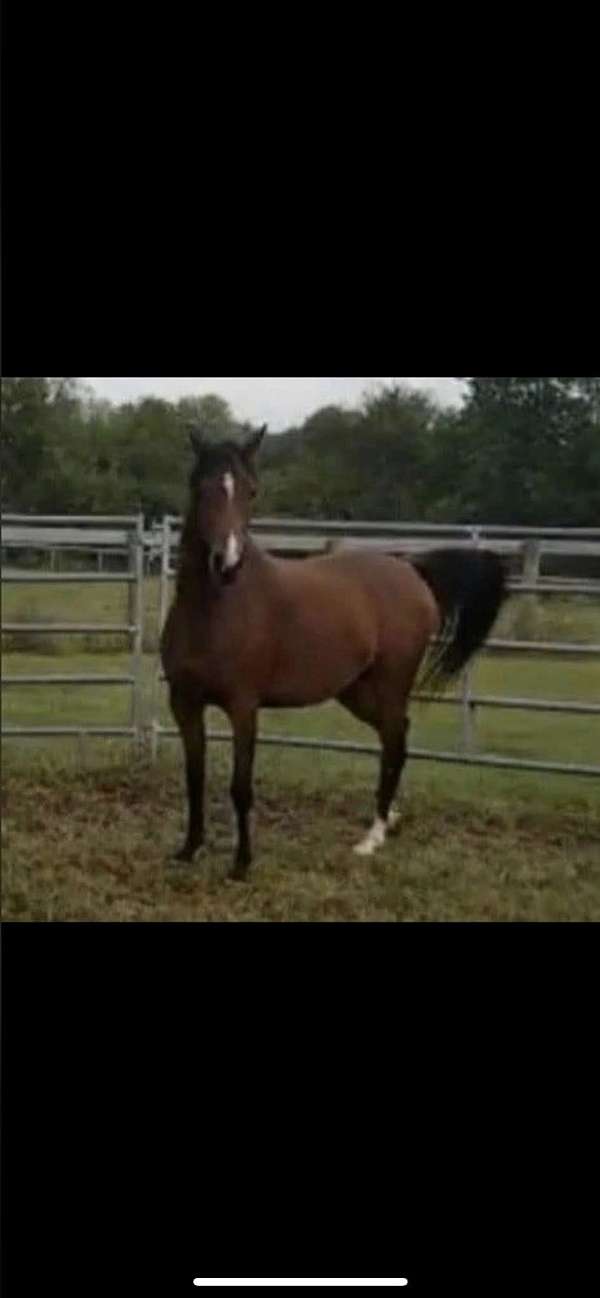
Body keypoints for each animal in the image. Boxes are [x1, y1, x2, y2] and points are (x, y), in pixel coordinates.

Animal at [160, 425, 507, 880]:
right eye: (200, 488)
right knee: (397, 738)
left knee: (394, 742)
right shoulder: (184, 703)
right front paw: (188, 850)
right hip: (357, 692)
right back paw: (390, 819)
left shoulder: (243, 707)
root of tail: (410, 569)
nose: (227, 563)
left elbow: (241, 786)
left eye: (252, 491)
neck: (217, 610)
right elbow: (194, 777)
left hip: (391, 683)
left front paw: (241, 864)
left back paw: (372, 838)